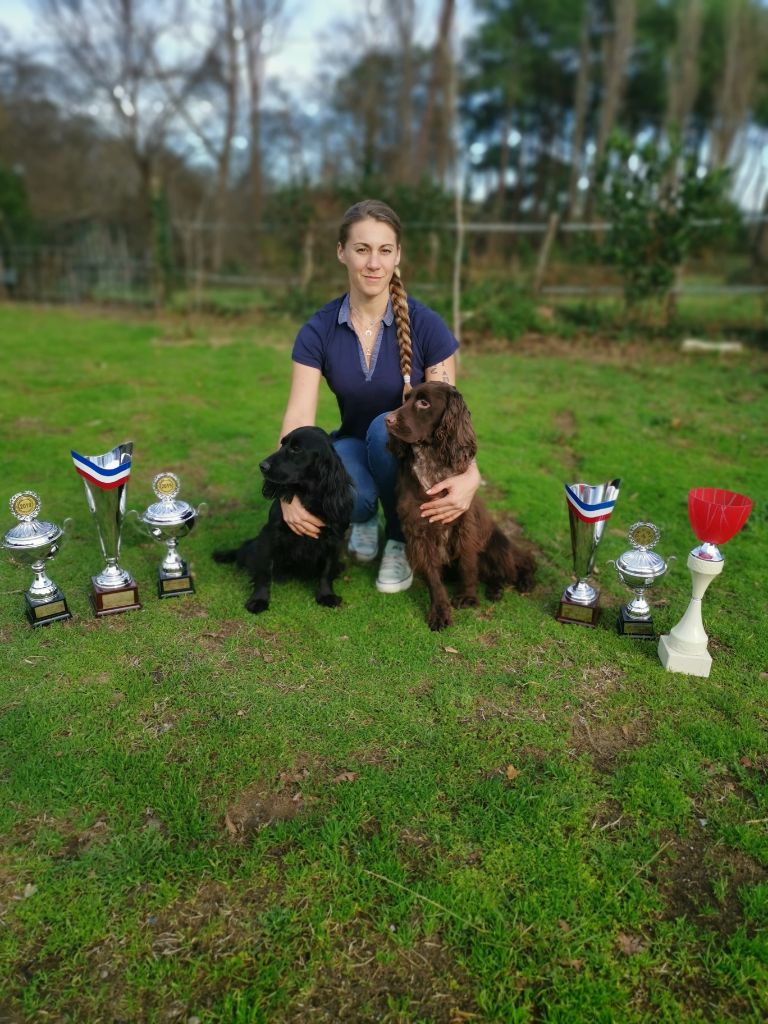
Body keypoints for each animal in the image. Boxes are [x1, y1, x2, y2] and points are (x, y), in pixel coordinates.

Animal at [211, 425, 354, 614]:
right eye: (282, 443)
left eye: (296, 449)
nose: (262, 465)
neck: (306, 494)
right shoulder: (270, 535)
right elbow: (264, 571)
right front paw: (258, 599)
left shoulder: (333, 539)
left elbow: (326, 571)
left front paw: (326, 595)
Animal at [387, 380, 536, 626]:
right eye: (406, 398)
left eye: (424, 403)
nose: (387, 420)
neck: (432, 463)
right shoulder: (419, 530)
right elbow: (433, 578)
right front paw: (440, 611)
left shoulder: (464, 524)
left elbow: (467, 564)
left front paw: (467, 596)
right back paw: (495, 590)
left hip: (496, 543)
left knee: (520, 562)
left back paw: (524, 581)